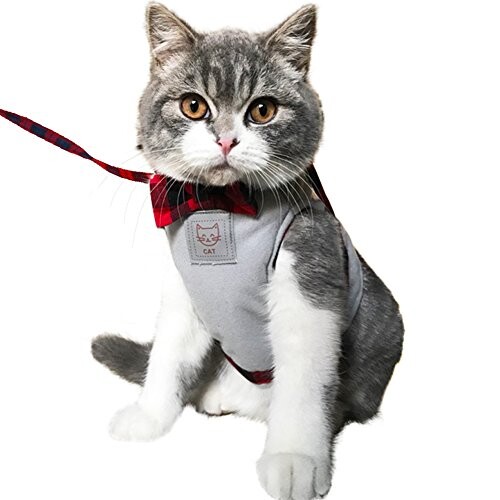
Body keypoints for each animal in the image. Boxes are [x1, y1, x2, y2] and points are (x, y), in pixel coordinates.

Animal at [91, 3, 404, 499]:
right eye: (193, 105)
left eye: (263, 110)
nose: (225, 139)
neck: (224, 207)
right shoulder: (185, 289)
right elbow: (168, 350)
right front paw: (150, 416)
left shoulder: (310, 261)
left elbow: (304, 373)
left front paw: (295, 459)